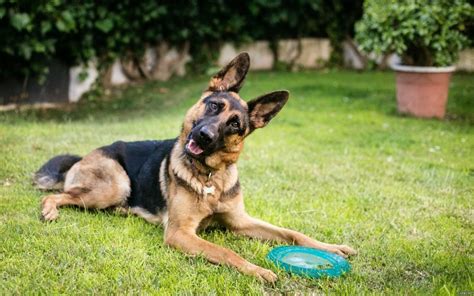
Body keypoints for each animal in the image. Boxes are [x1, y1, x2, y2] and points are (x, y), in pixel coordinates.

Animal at [35, 52, 356, 282]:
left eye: (235, 125)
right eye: (214, 106)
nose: (204, 135)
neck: (210, 177)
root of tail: (82, 157)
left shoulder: (240, 222)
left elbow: (293, 234)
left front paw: (334, 247)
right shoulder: (180, 233)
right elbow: (225, 251)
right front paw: (257, 270)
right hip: (116, 184)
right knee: (58, 195)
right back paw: (50, 210)